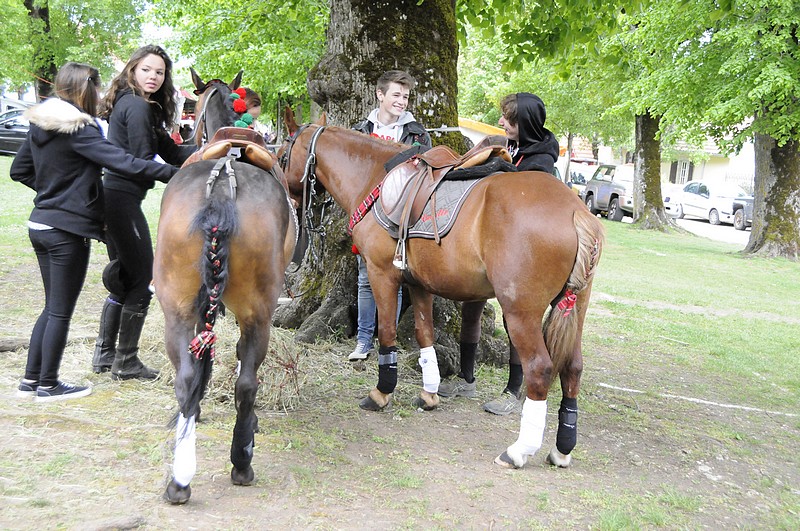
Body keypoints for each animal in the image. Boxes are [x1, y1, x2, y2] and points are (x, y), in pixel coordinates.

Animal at [153, 70, 297, 503]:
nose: (183, 131)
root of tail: (221, 186)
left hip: (177, 307)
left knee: (188, 376)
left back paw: (182, 475)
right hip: (256, 313)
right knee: (246, 381)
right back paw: (240, 459)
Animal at [280, 124, 604, 469]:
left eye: (284, 154)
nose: (286, 194)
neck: (375, 178)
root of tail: (577, 211)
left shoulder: (383, 274)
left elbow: (387, 332)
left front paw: (382, 392)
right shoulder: (418, 284)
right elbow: (425, 335)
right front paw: (429, 392)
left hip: (520, 311)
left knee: (539, 369)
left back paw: (519, 449)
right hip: (575, 308)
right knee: (573, 368)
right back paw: (562, 448)